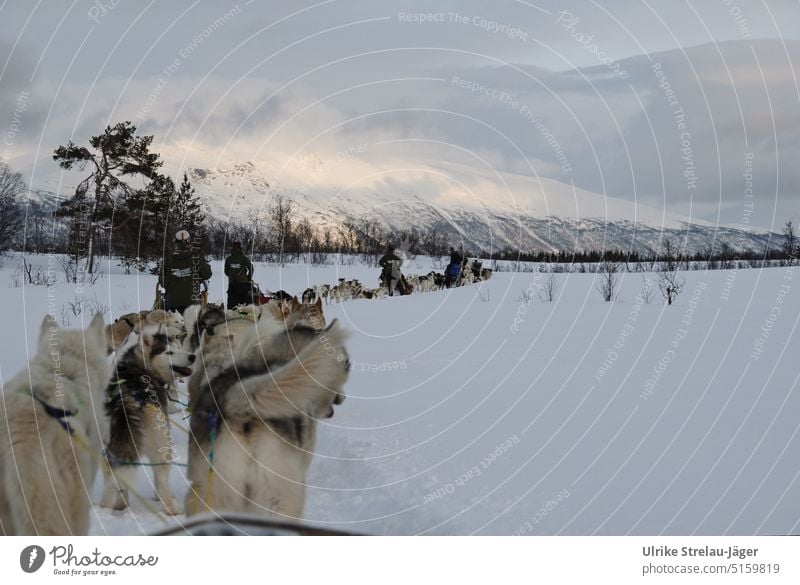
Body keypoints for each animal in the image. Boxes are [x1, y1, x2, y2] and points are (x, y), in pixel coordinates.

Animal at [101, 326, 196, 512]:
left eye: (178, 347)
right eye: (169, 352)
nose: (192, 356)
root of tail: (127, 400)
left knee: (113, 479)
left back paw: (111, 508)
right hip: (162, 443)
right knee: (161, 478)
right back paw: (172, 508)